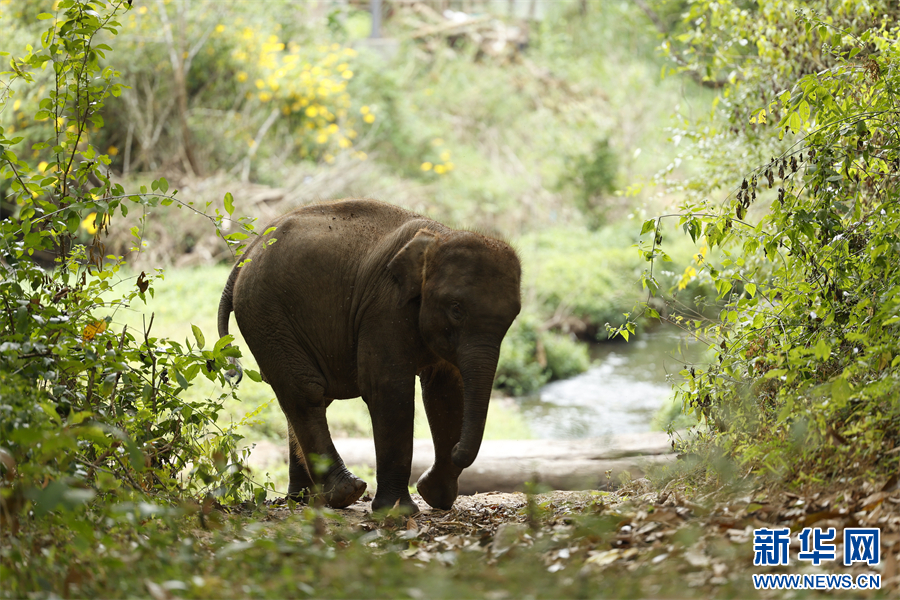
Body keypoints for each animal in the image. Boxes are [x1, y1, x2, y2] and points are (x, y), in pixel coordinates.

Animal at [217, 199, 521, 512]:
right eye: (456, 309)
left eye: (514, 316)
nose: (459, 449)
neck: (441, 235)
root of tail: (246, 253)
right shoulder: (384, 307)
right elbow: (388, 389)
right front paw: (397, 511)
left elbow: (446, 393)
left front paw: (436, 497)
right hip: (265, 314)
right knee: (305, 390)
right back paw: (345, 493)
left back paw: (303, 500)